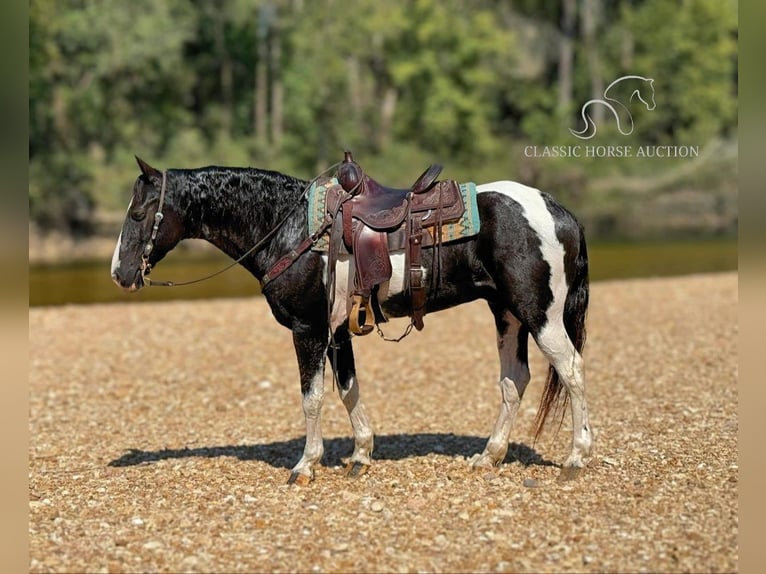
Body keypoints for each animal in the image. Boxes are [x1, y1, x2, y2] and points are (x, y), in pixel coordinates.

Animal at [112, 158, 592, 486]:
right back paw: (490, 455)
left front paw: (306, 465)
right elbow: (347, 388)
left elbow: (312, 397)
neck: (289, 229)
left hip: (540, 314)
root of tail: (559, 210)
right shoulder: (337, 330)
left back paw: (576, 457)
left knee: (571, 370)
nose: (119, 273)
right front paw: (361, 454)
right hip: (506, 314)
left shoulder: (308, 329)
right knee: (514, 379)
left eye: (138, 214)